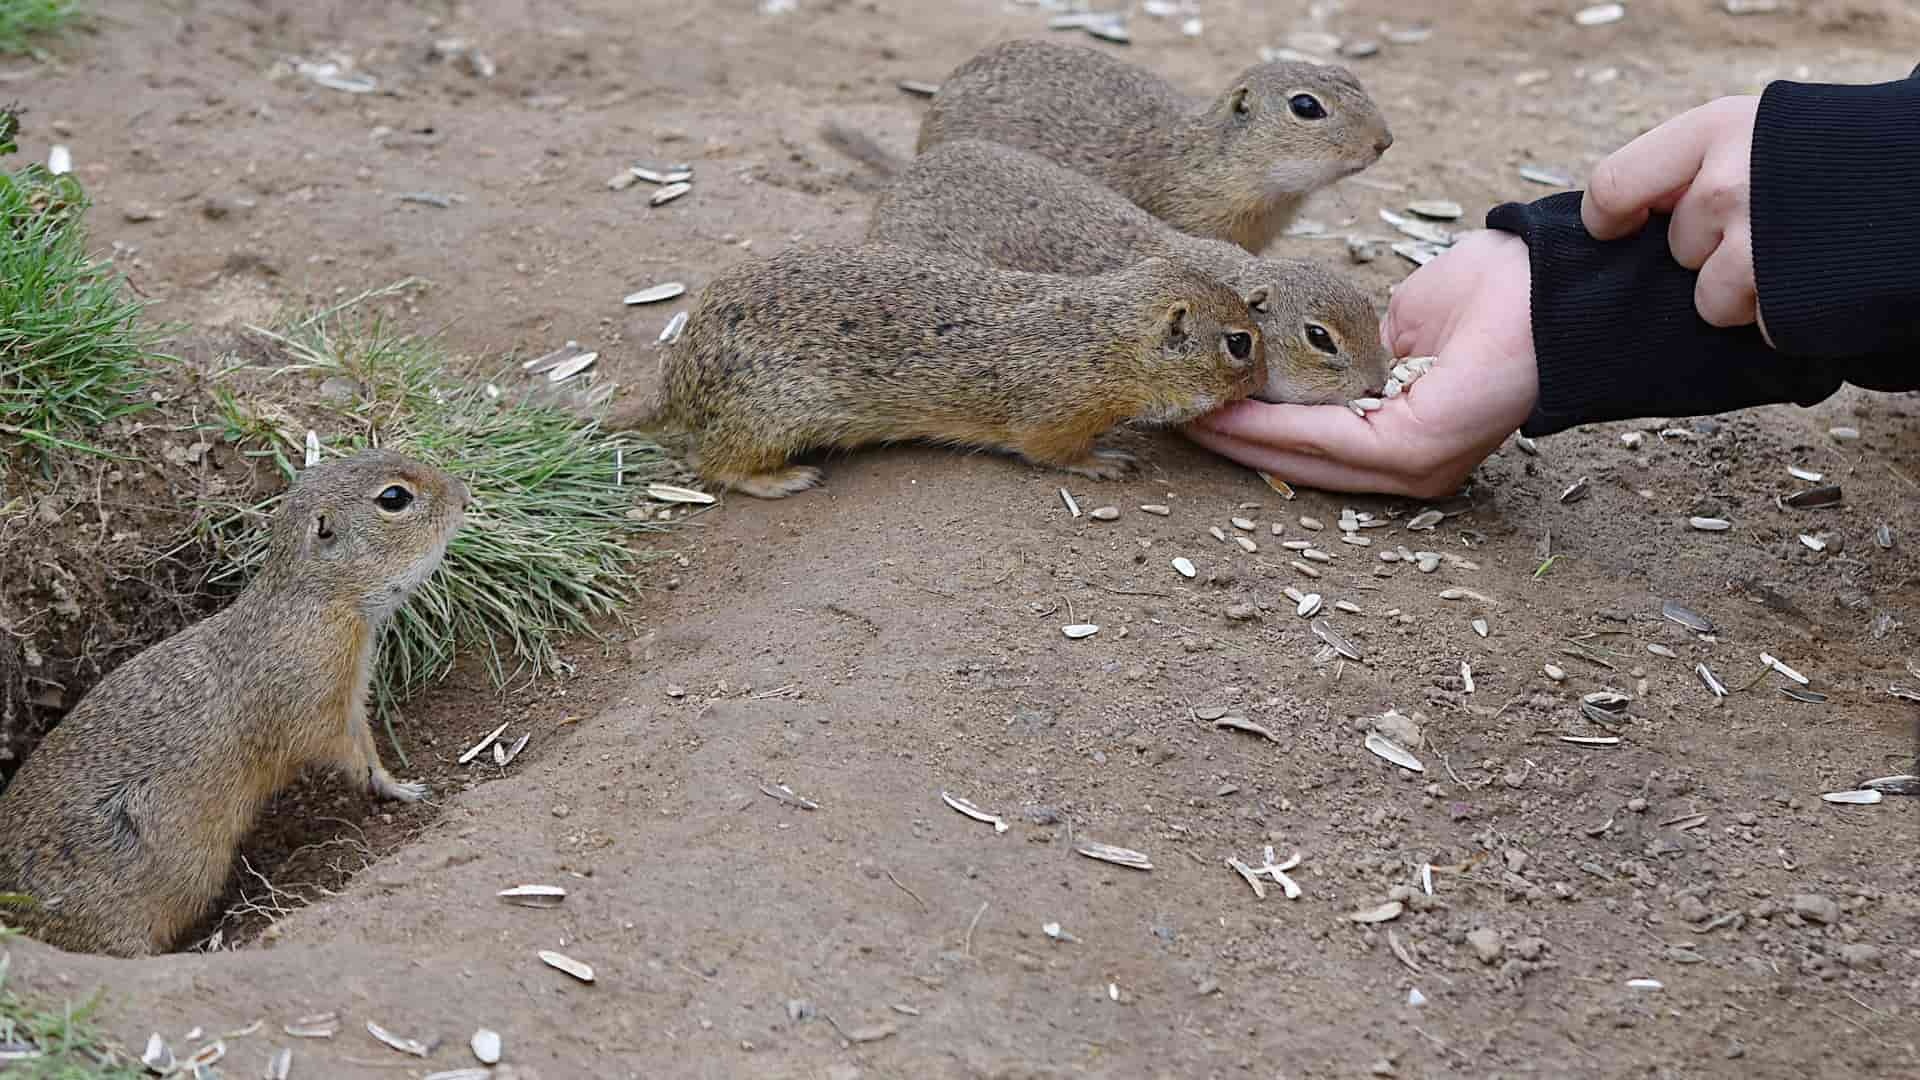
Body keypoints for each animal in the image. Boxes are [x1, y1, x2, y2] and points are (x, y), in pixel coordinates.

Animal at [0, 449, 468, 953]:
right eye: (394, 498)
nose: (463, 493)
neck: (314, 603)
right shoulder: (319, 707)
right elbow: (351, 758)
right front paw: (402, 790)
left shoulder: (351, 699)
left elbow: (367, 746)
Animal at [614, 243, 1267, 495]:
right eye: (1239, 345)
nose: (1264, 385)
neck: (1105, 336)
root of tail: (676, 385)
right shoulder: (1056, 415)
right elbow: (1054, 453)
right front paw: (1106, 462)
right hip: (772, 415)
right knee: (714, 462)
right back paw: (783, 480)